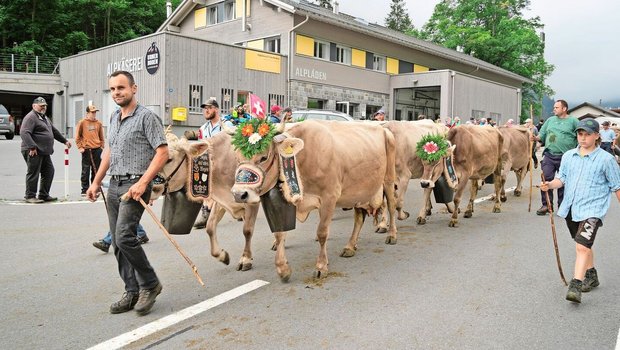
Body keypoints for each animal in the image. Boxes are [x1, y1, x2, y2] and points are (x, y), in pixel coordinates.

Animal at [229, 120, 398, 282]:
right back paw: (350, 246)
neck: (302, 158)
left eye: (263, 157)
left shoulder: (330, 197)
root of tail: (383, 128)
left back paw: (392, 235)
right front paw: (283, 269)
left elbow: (322, 232)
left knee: (391, 206)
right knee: (359, 218)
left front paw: (321, 266)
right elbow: (279, 234)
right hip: (358, 191)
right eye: (236, 158)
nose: (239, 194)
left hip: (389, 179)